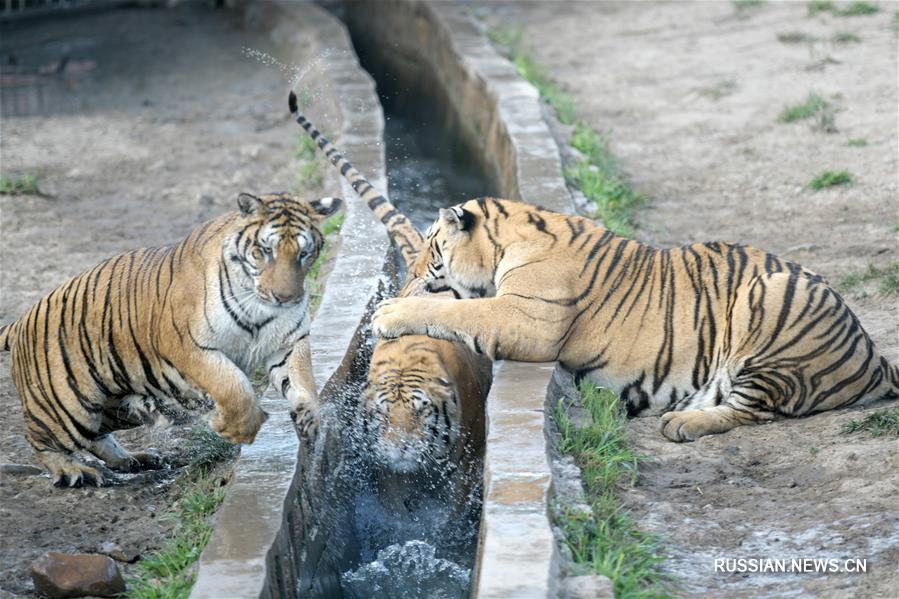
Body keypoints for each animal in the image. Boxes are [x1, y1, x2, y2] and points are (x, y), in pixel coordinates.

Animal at [0, 192, 342, 488]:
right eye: (266, 251)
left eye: (304, 253)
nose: (285, 297)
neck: (259, 304)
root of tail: (20, 321)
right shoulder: (190, 346)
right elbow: (232, 386)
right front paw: (234, 429)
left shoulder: (288, 342)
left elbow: (302, 379)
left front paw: (309, 420)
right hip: (69, 406)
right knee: (40, 439)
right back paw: (74, 471)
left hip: (115, 406)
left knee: (97, 437)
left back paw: (132, 460)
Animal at [370, 199, 896, 442]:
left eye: (432, 247)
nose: (409, 274)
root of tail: (873, 354)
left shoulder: (526, 317)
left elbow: (459, 309)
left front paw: (389, 312)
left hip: (771, 295)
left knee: (755, 409)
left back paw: (682, 424)